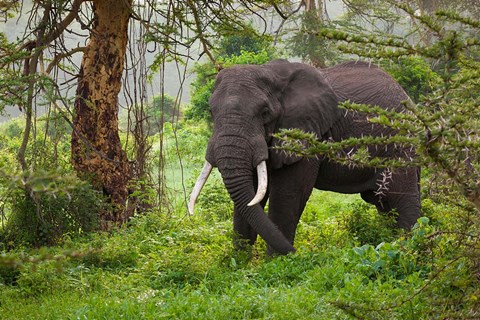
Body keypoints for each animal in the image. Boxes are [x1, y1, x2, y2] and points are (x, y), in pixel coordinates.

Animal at [188, 59, 420, 255]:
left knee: (402, 200)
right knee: (384, 204)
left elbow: (288, 193)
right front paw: (239, 265)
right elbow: (250, 193)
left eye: (264, 112)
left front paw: (276, 264)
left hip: (399, 145)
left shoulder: (306, 134)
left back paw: (408, 247)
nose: (297, 252)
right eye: (211, 111)